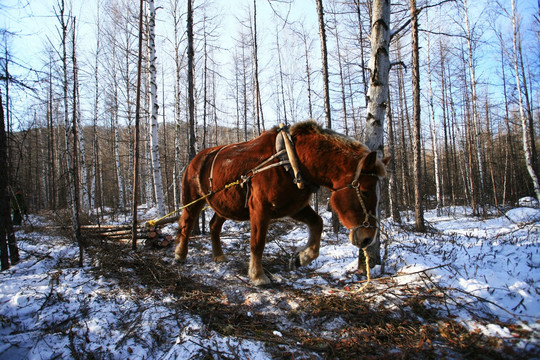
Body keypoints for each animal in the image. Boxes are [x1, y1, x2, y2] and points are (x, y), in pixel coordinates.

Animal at [175, 122, 390, 286]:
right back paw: (180, 254)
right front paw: (258, 276)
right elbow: (257, 242)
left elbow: (317, 223)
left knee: (213, 225)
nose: (368, 238)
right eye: (365, 191)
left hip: (224, 203)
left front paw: (301, 258)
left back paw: (219, 255)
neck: (292, 160)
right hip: (192, 199)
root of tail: (195, 158)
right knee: (187, 224)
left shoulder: (293, 206)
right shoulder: (260, 208)